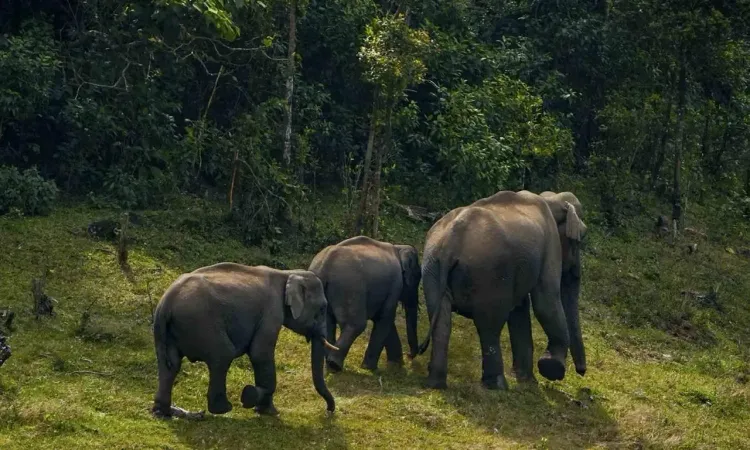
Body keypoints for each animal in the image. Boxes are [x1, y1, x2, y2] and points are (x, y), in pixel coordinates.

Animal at [150, 262, 338, 418]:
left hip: (167, 332)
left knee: (171, 365)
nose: (328, 411)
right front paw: (258, 403)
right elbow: (260, 353)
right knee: (223, 355)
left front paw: (261, 407)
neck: (287, 274)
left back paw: (164, 412)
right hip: (201, 322)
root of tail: (165, 304)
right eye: (322, 308)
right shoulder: (271, 312)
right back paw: (223, 409)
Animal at [308, 236, 421, 373]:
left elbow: (383, 320)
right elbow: (385, 318)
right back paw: (335, 365)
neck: (399, 247)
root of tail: (324, 265)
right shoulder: (396, 284)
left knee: (328, 324)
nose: (409, 355)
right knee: (357, 324)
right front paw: (370, 368)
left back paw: (329, 367)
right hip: (350, 287)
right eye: (417, 277)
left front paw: (396, 365)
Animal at [415, 189, 587, 390]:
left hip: (431, 266)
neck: (551, 199)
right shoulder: (550, 245)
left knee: (442, 320)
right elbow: (546, 299)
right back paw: (497, 386)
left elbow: (520, 309)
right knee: (489, 325)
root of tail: (452, 239)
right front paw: (551, 368)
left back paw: (436, 383)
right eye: (579, 240)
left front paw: (527, 381)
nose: (582, 372)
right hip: (489, 273)